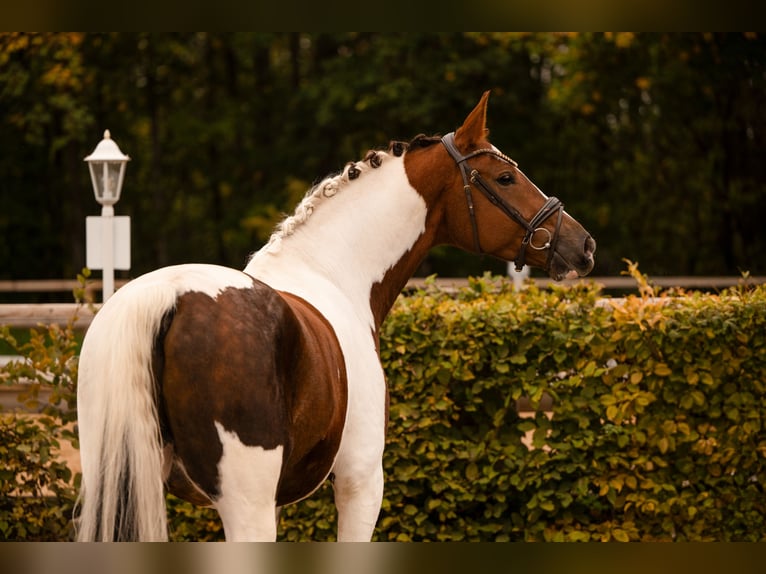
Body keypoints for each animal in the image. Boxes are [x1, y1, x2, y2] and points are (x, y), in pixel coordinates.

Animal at [75, 91, 596, 542]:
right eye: (505, 178)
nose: (582, 245)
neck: (333, 274)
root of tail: (169, 299)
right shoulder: (361, 480)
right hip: (246, 503)